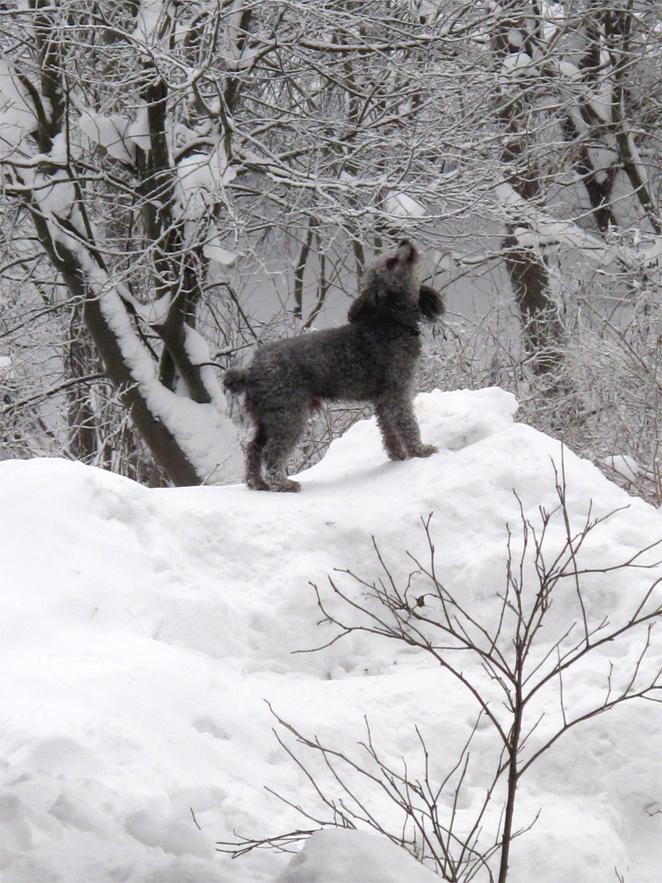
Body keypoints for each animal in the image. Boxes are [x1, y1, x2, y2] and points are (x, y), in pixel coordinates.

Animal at [223, 238, 446, 494]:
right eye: (391, 262)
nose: (404, 241)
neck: (391, 323)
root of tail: (251, 371)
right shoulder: (397, 393)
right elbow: (406, 424)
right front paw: (420, 451)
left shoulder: (382, 399)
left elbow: (389, 432)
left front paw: (398, 457)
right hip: (290, 415)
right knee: (271, 453)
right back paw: (283, 484)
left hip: (269, 418)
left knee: (253, 448)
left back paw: (257, 483)